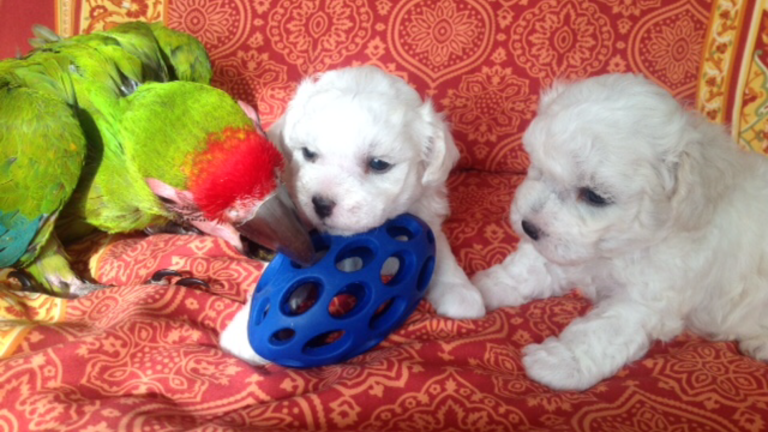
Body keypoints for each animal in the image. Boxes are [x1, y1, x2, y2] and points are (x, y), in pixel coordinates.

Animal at [219, 66, 484, 366]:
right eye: (308, 153)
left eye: (379, 164)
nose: (321, 203)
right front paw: (242, 333)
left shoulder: (425, 209)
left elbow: (440, 247)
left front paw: (459, 290)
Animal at [472, 73, 768, 392]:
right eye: (538, 169)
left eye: (594, 196)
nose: (529, 226)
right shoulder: (571, 249)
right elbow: (530, 268)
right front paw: (480, 288)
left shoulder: (646, 299)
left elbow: (601, 330)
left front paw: (558, 363)